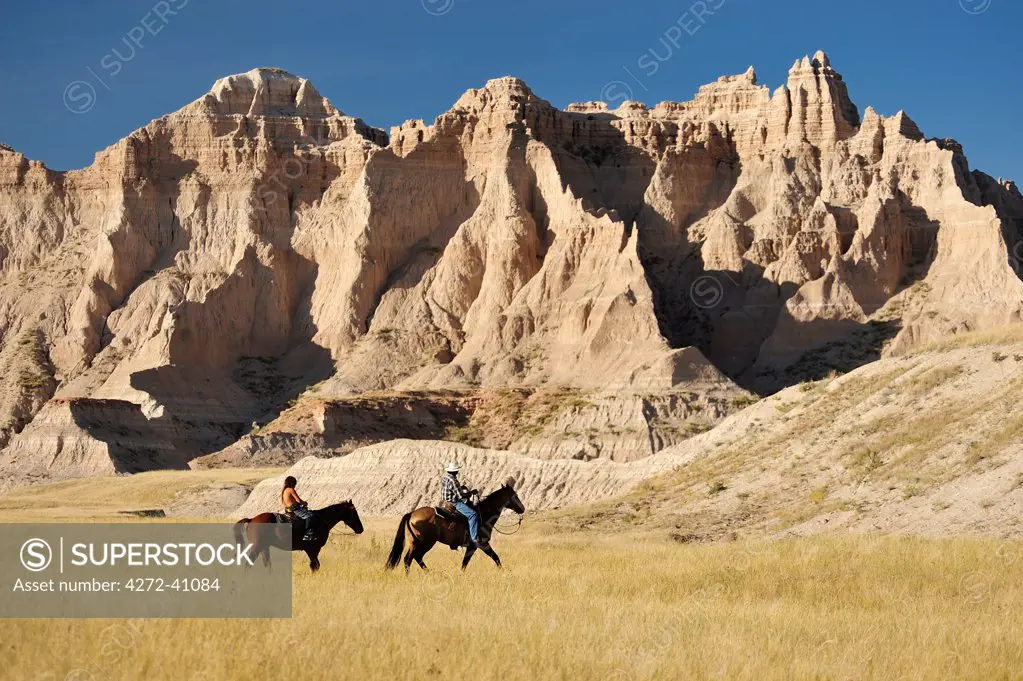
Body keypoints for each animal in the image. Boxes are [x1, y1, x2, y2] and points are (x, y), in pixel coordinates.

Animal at [234, 498, 362, 572]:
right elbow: (315, 565)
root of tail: (252, 519)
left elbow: (314, 566)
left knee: (267, 564)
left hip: (264, 547)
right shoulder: (312, 549)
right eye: (353, 512)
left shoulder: (313, 550)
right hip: (257, 546)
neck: (320, 520)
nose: (361, 529)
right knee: (249, 564)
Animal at [384, 480, 523, 568]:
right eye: (515, 495)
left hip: (418, 543)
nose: (523, 508)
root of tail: (411, 513)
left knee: (416, 558)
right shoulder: (480, 544)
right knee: (409, 559)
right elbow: (494, 558)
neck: (484, 514)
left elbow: (467, 563)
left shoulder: (474, 546)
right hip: (424, 542)